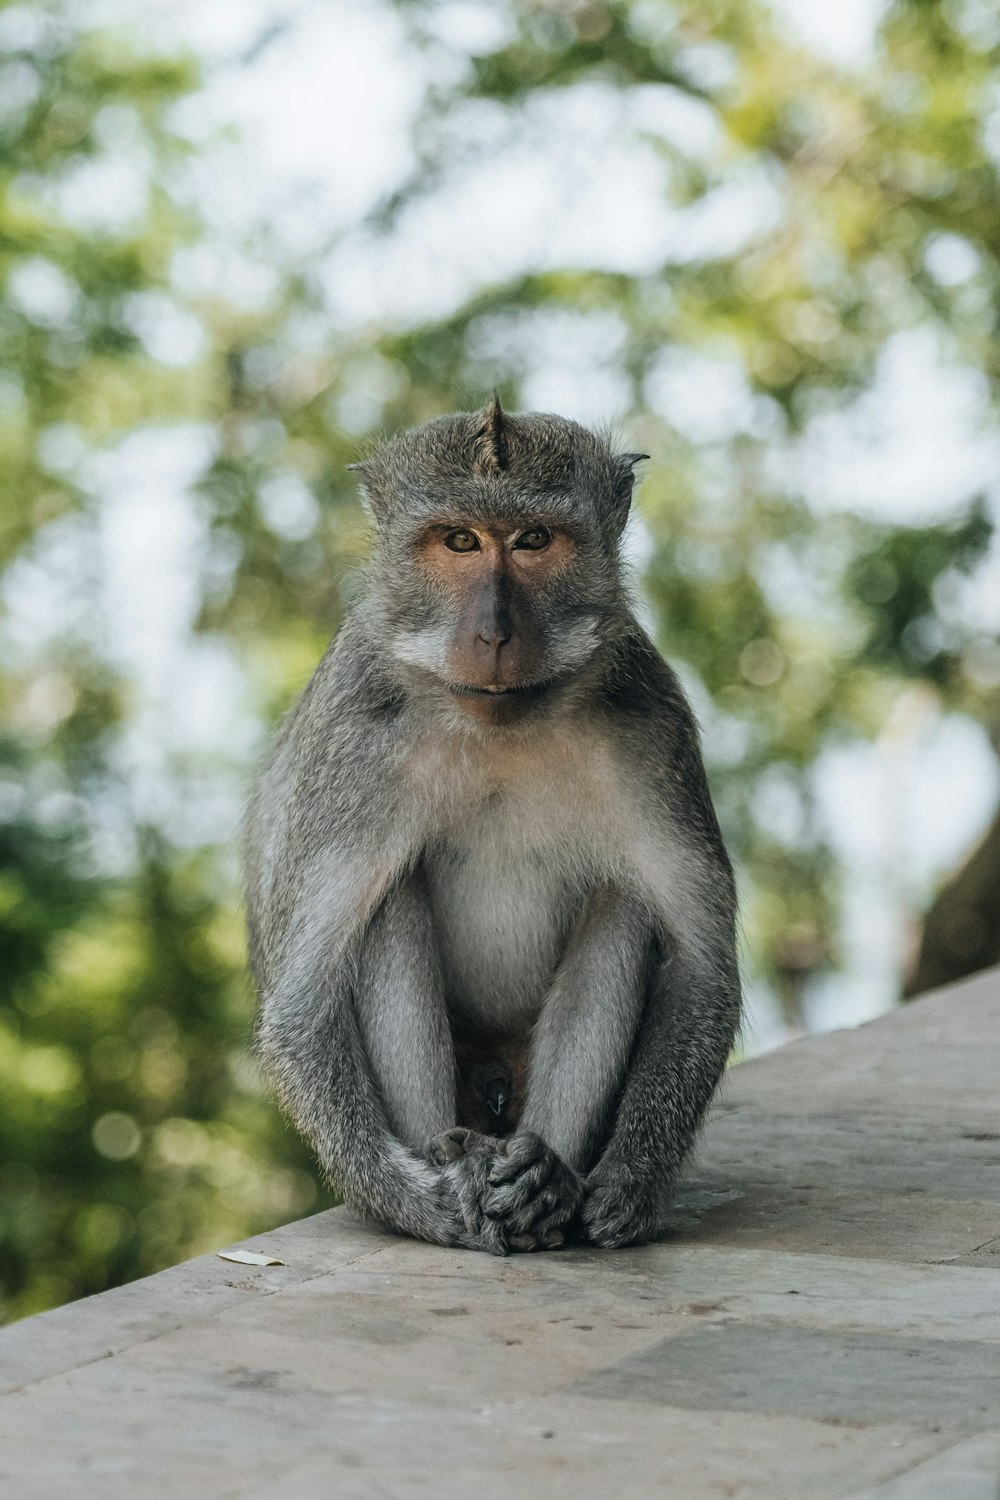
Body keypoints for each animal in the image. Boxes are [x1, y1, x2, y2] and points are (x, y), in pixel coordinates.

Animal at [245, 396, 740, 1254]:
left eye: (535, 540)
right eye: (460, 541)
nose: (496, 633)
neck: (501, 719)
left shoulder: (650, 721)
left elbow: (702, 965)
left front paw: (627, 1186)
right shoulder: (356, 733)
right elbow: (302, 1001)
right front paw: (421, 1202)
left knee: (625, 906)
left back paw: (546, 1181)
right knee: (387, 903)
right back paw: (456, 1162)